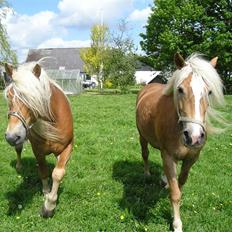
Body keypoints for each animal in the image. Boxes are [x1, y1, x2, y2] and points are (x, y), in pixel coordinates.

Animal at [4, 62, 73, 218]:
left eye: (33, 98)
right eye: (9, 96)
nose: (11, 137)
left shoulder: (68, 146)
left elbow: (58, 173)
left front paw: (49, 205)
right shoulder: (38, 150)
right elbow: (43, 171)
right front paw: (46, 194)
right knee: (18, 149)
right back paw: (19, 166)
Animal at [136, 53, 225, 232]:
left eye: (209, 91)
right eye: (180, 89)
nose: (194, 137)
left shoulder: (191, 158)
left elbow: (180, 184)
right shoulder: (168, 156)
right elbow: (175, 193)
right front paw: (177, 223)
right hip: (142, 136)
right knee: (145, 154)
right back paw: (147, 174)